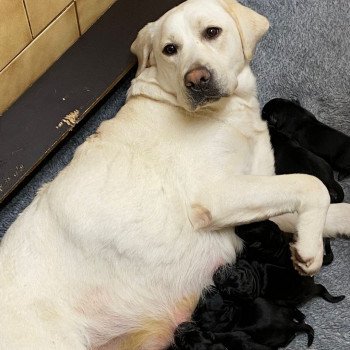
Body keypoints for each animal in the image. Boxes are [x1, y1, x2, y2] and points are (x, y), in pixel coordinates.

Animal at [0, 0, 350, 350]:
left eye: (212, 32)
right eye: (170, 49)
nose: (197, 78)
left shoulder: (255, 190)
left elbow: (318, 206)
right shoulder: (217, 196)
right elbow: (311, 185)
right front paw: (310, 250)